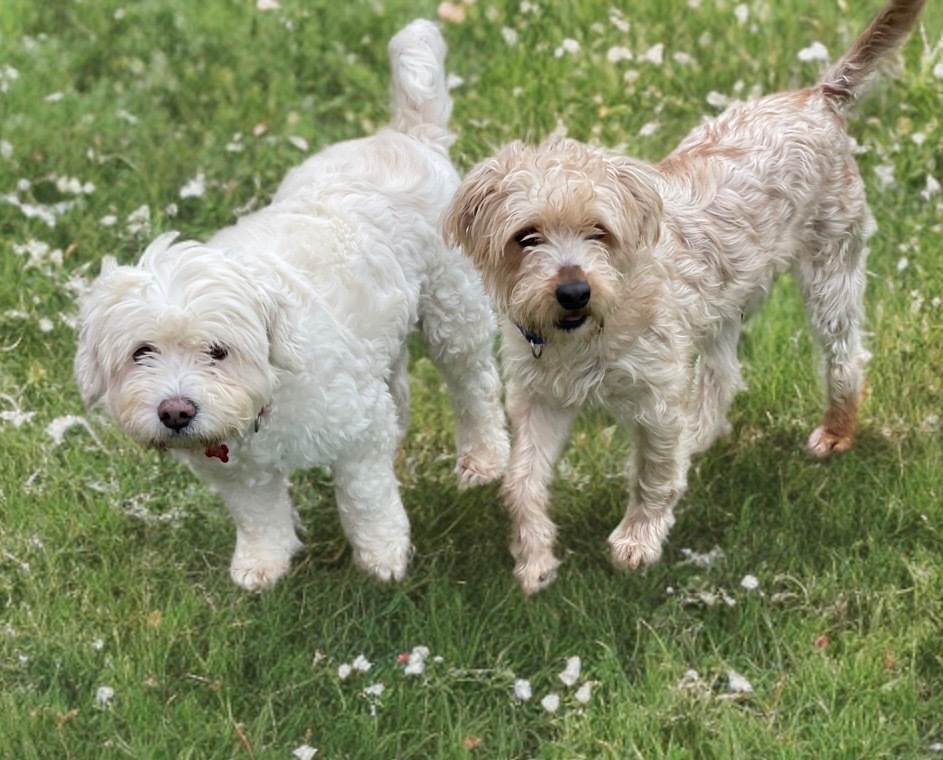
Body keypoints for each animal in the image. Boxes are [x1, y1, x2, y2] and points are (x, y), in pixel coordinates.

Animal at [74, 16, 508, 588]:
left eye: (218, 350)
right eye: (141, 352)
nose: (175, 412)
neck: (268, 394)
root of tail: (405, 136)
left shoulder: (357, 431)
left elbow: (365, 499)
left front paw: (383, 557)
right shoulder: (238, 473)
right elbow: (259, 516)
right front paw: (263, 563)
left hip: (453, 311)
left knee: (473, 385)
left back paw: (484, 457)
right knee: (399, 385)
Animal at [446, 0, 924, 592]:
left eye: (599, 231)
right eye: (526, 237)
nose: (574, 292)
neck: (595, 329)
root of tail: (818, 97)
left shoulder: (656, 397)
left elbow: (651, 475)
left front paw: (638, 539)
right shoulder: (541, 400)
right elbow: (521, 482)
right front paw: (535, 558)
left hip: (830, 273)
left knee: (845, 356)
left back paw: (836, 430)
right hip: (721, 304)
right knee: (723, 372)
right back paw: (699, 435)